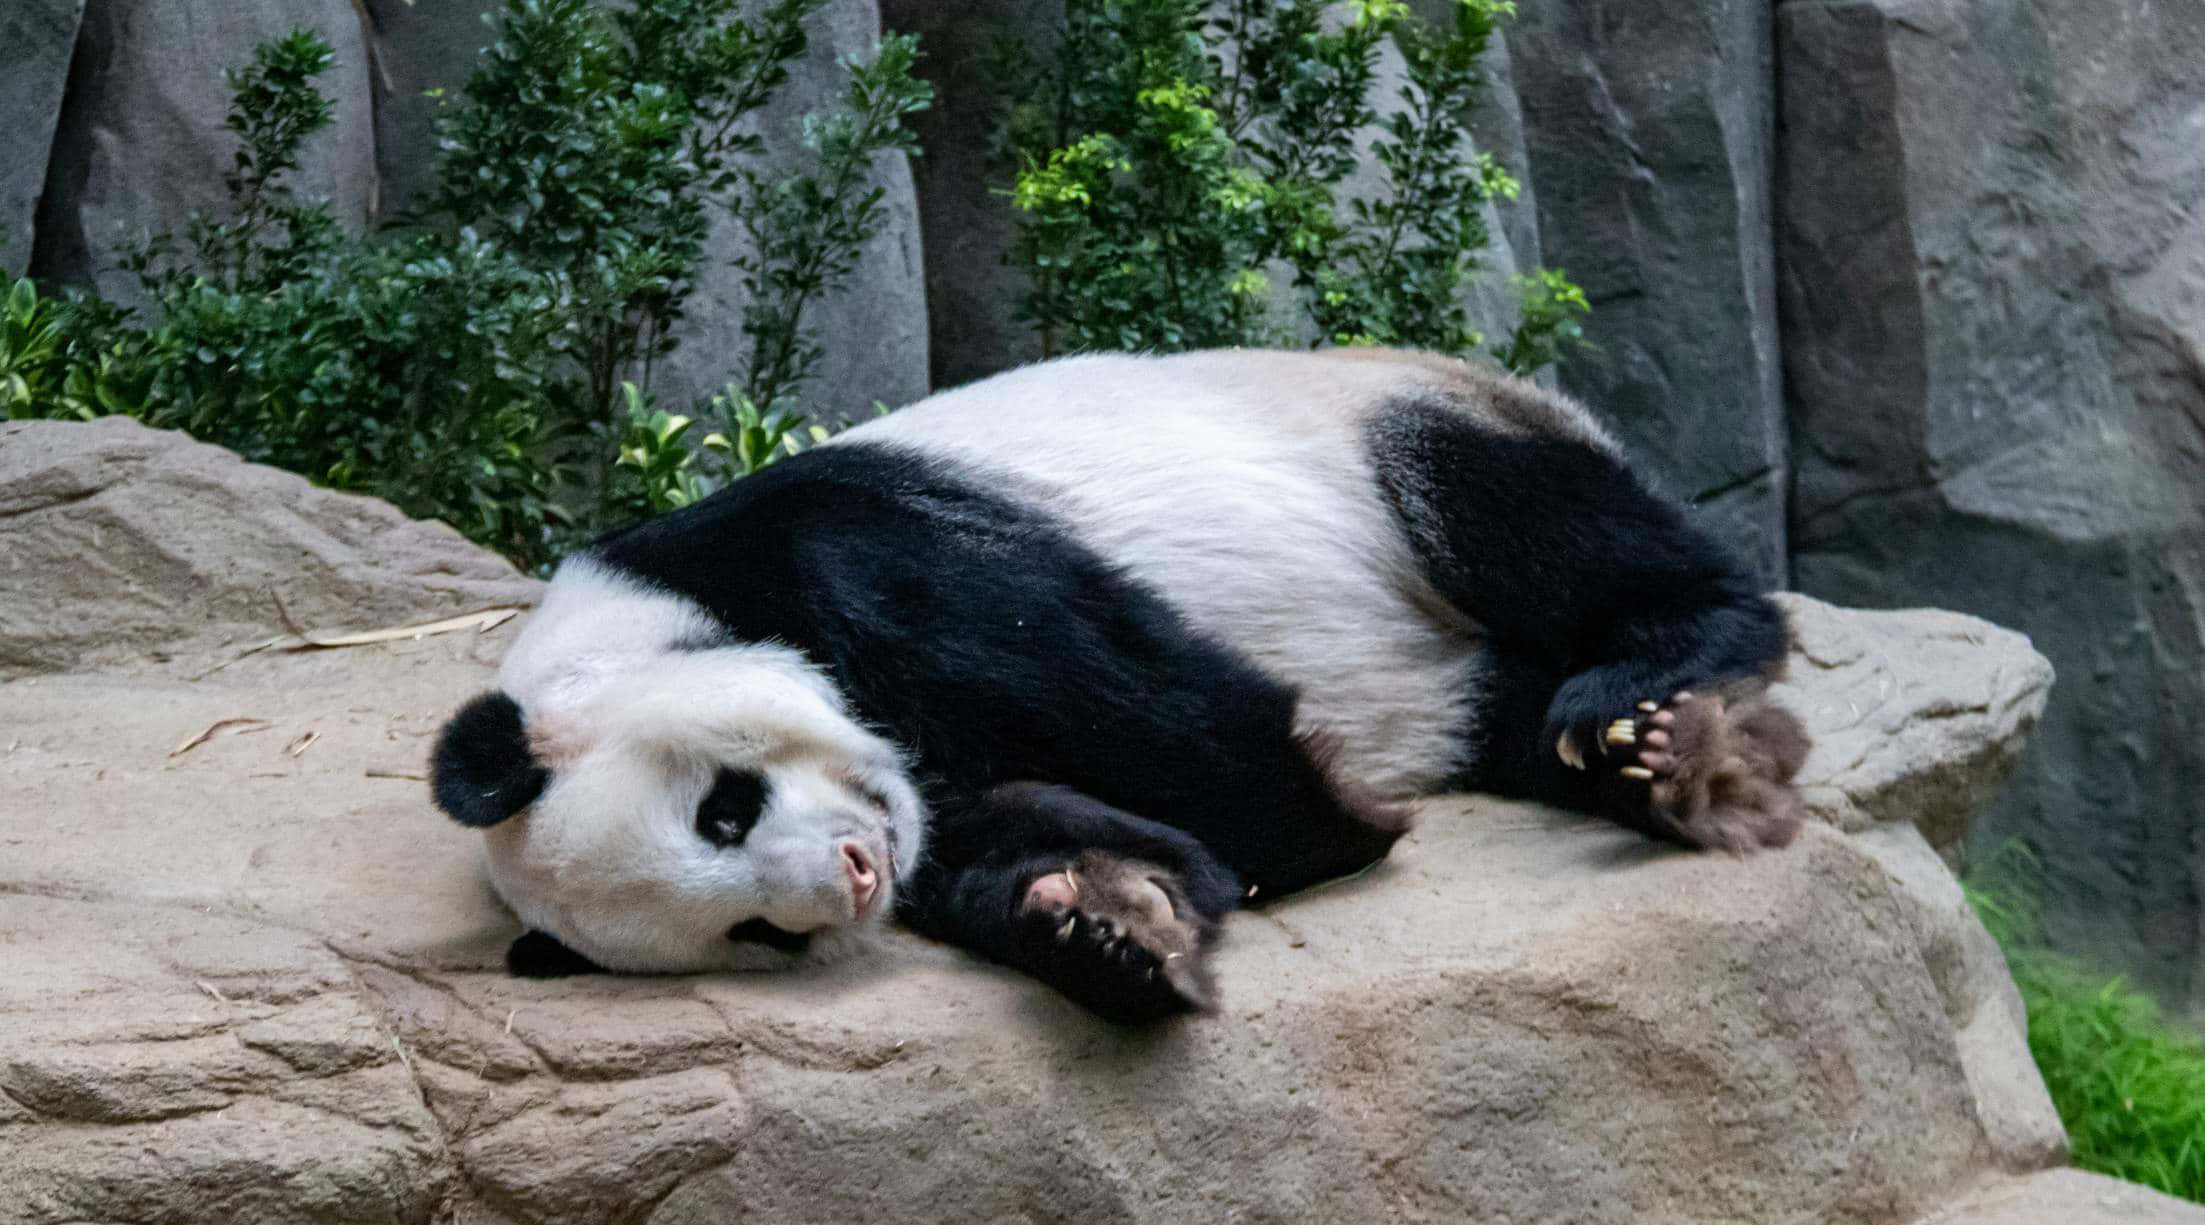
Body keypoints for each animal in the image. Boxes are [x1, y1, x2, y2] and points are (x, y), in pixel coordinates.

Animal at [430, 347, 1809, 1022]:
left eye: (723, 808)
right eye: (754, 932)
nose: (857, 876)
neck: (633, 619)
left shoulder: (851, 546)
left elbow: (1144, 697)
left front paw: (1328, 824)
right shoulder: (937, 798)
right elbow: (1032, 835)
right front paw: (1100, 919)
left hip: (1397, 429)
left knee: (1529, 522)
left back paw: (1641, 694)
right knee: (1512, 709)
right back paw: (1656, 760)